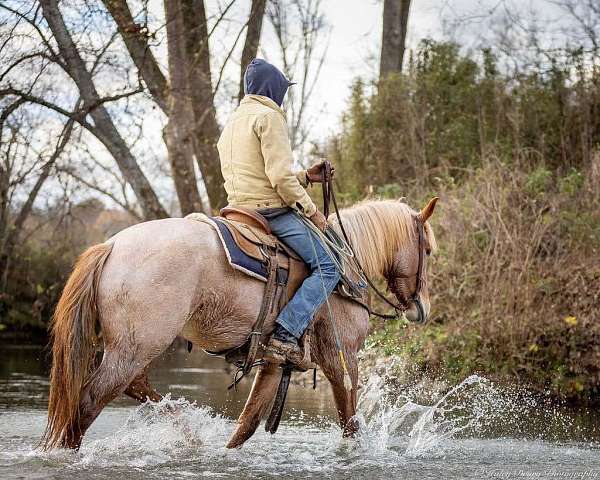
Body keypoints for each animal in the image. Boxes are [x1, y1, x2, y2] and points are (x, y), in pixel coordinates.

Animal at [41, 196, 436, 450]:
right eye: (428, 250)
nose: (423, 308)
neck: (344, 265)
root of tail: (111, 246)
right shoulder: (342, 359)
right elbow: (350, 421)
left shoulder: (275, 364)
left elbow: (245, 426)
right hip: (134, 349)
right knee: (89, 402)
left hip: (133, 349)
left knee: (137, 388)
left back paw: (189, 434)